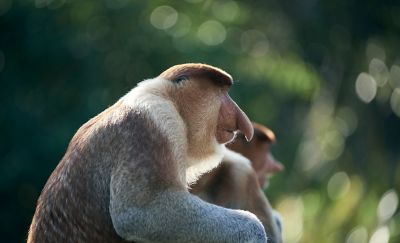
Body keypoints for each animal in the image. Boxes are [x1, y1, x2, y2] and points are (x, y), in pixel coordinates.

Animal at [26, 64, 268, 243]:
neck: (166, 97)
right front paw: (254, 230)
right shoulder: (154, 124)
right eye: (223, 93)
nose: (244, 124)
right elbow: (142, 212)